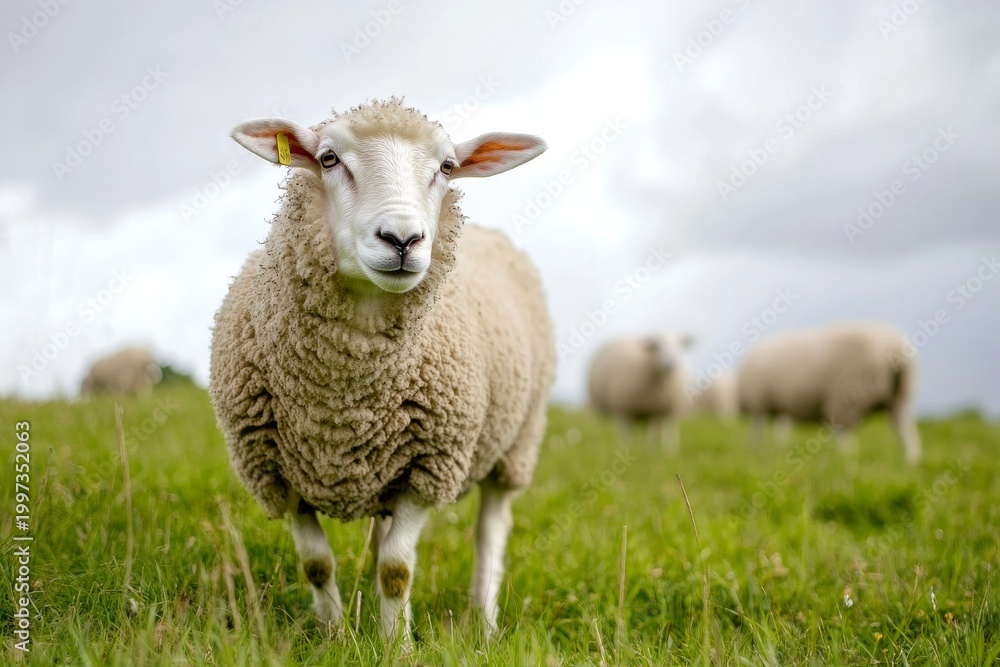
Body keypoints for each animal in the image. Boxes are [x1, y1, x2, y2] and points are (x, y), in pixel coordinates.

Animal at [209, 99, 554, 642]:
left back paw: (484, 621)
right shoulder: (278, 472)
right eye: (328, 159)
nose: (403, 239)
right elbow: (317, 564)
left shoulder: (431, 465)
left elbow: (397, 568)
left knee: (490, 531)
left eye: (447, 167)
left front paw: (397, 645)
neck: (341, 401)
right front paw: (333, 636)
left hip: (516, 443)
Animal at [736, 321, 921, 463]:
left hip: (849, 396)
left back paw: (847, 459)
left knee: (846, 436)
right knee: (906, 431)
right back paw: (912, 459)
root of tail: (895, 346)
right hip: (896, 399)